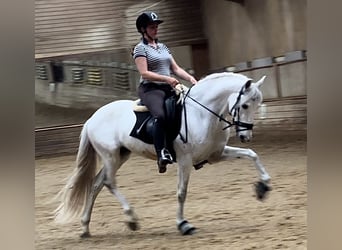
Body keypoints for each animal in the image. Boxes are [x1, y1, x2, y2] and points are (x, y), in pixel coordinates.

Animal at [54, 72, 272, 236]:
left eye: (257, 105)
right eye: (245, 105)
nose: (245, 136)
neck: (203, 114)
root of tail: (91, 119)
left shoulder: (215, 155)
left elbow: (251, 154)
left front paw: (263, 187)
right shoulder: (185, 160)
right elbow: (181, 192)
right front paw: (183, 224)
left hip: (121, 155)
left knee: (96, 184)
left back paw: (85, 227)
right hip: (110, 156)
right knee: (108, 182)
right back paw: (131, 218)